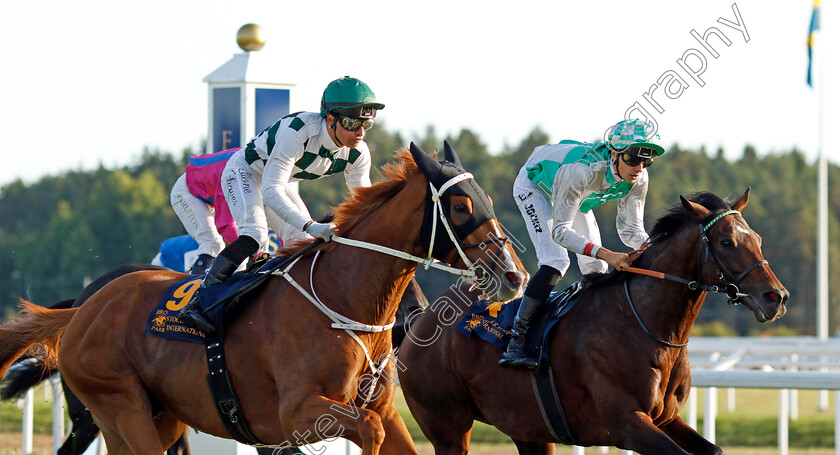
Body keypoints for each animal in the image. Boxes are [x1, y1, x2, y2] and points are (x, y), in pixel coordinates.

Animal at [0, 143, 524, 455]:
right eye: (461, 206)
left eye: (486, 198)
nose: (513, 274)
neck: (345, 302)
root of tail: (83, 308)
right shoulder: (300, 412)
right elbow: (366, 434)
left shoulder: (384, 410)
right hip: (118, 405)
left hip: (154, 416)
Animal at [398, 187, 788, 454]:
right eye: (726, 241)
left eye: (757, 238)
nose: (777, 297)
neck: (646, 324)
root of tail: (419, 322)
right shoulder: (627, 424)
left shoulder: (665, 418)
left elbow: (715, 449)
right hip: (448, 426)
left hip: (528, 429)